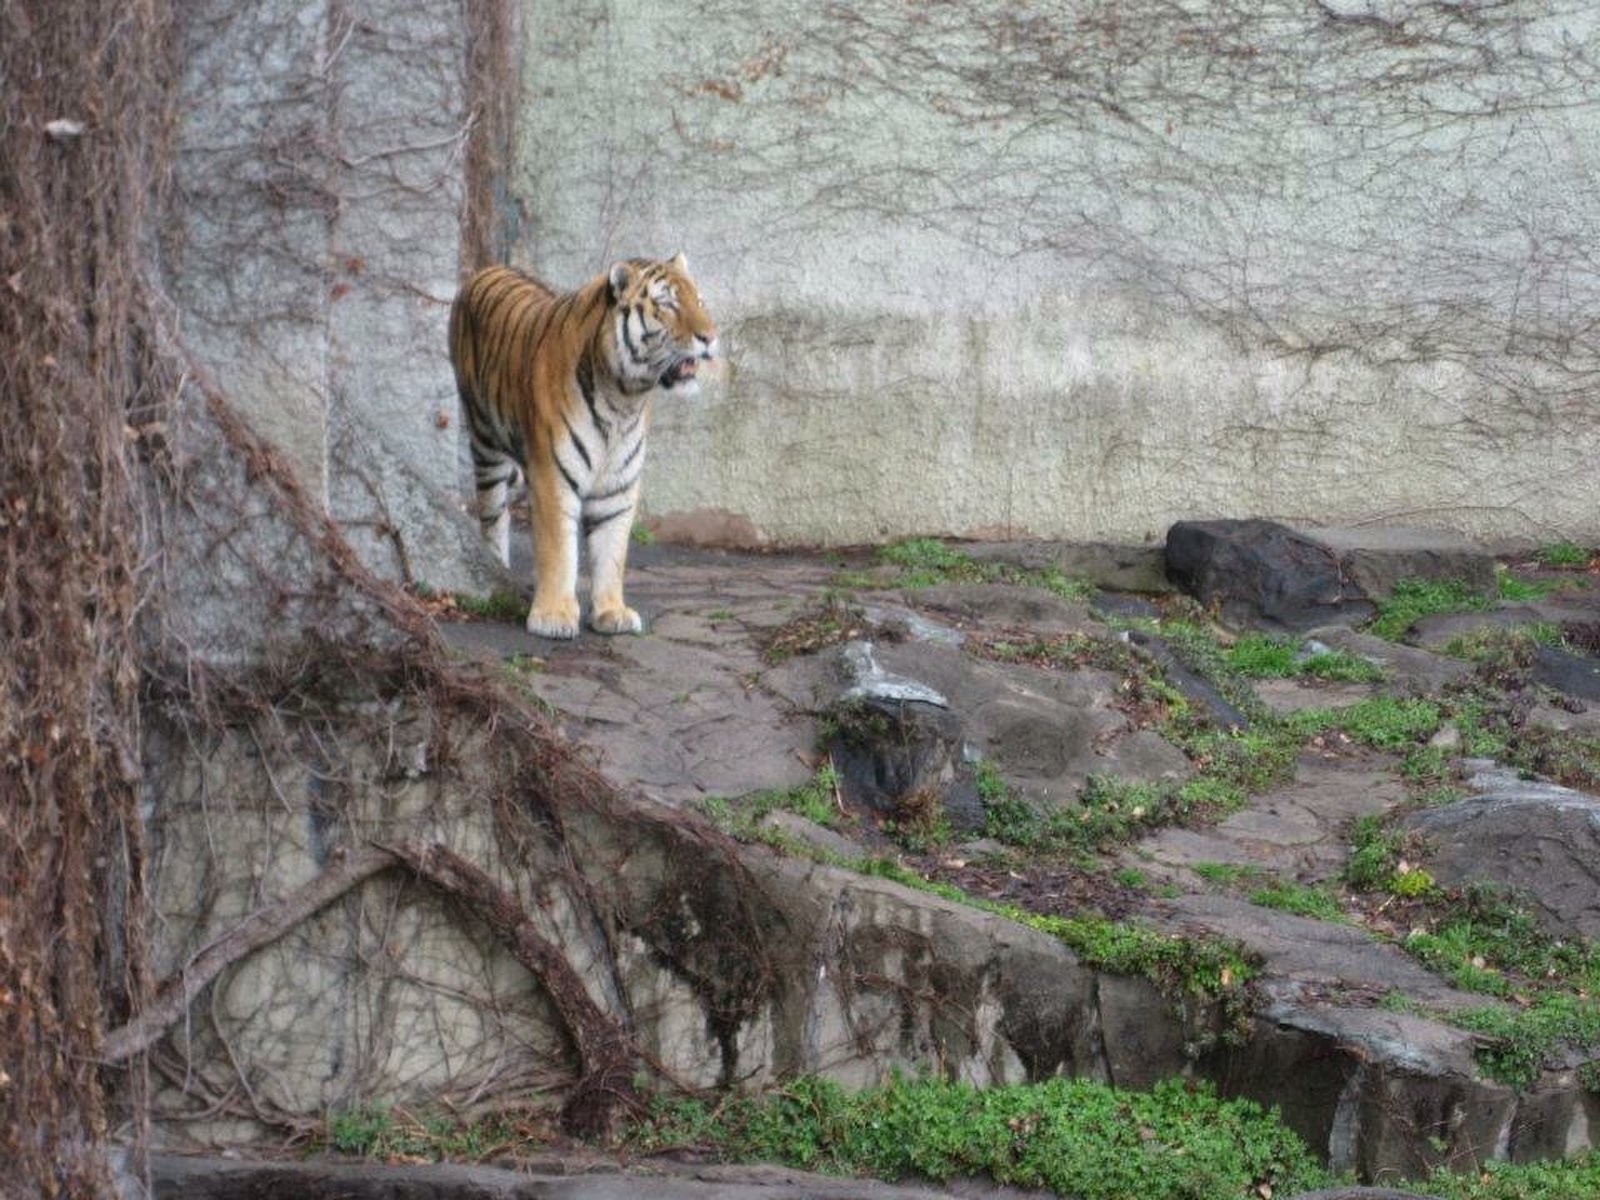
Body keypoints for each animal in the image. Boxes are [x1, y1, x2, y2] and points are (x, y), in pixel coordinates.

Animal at [448, 256, 716, 640]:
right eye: (667, 303)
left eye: (700, 301)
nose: (710, 337)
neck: (624, 399)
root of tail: (487, 269)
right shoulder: (552, 478)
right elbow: (559, 550)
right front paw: (553, 616)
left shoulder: (619, 485)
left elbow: (612, 550)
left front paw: (611, 612)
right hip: (485, 442)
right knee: (493, 513)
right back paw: (497, 565)